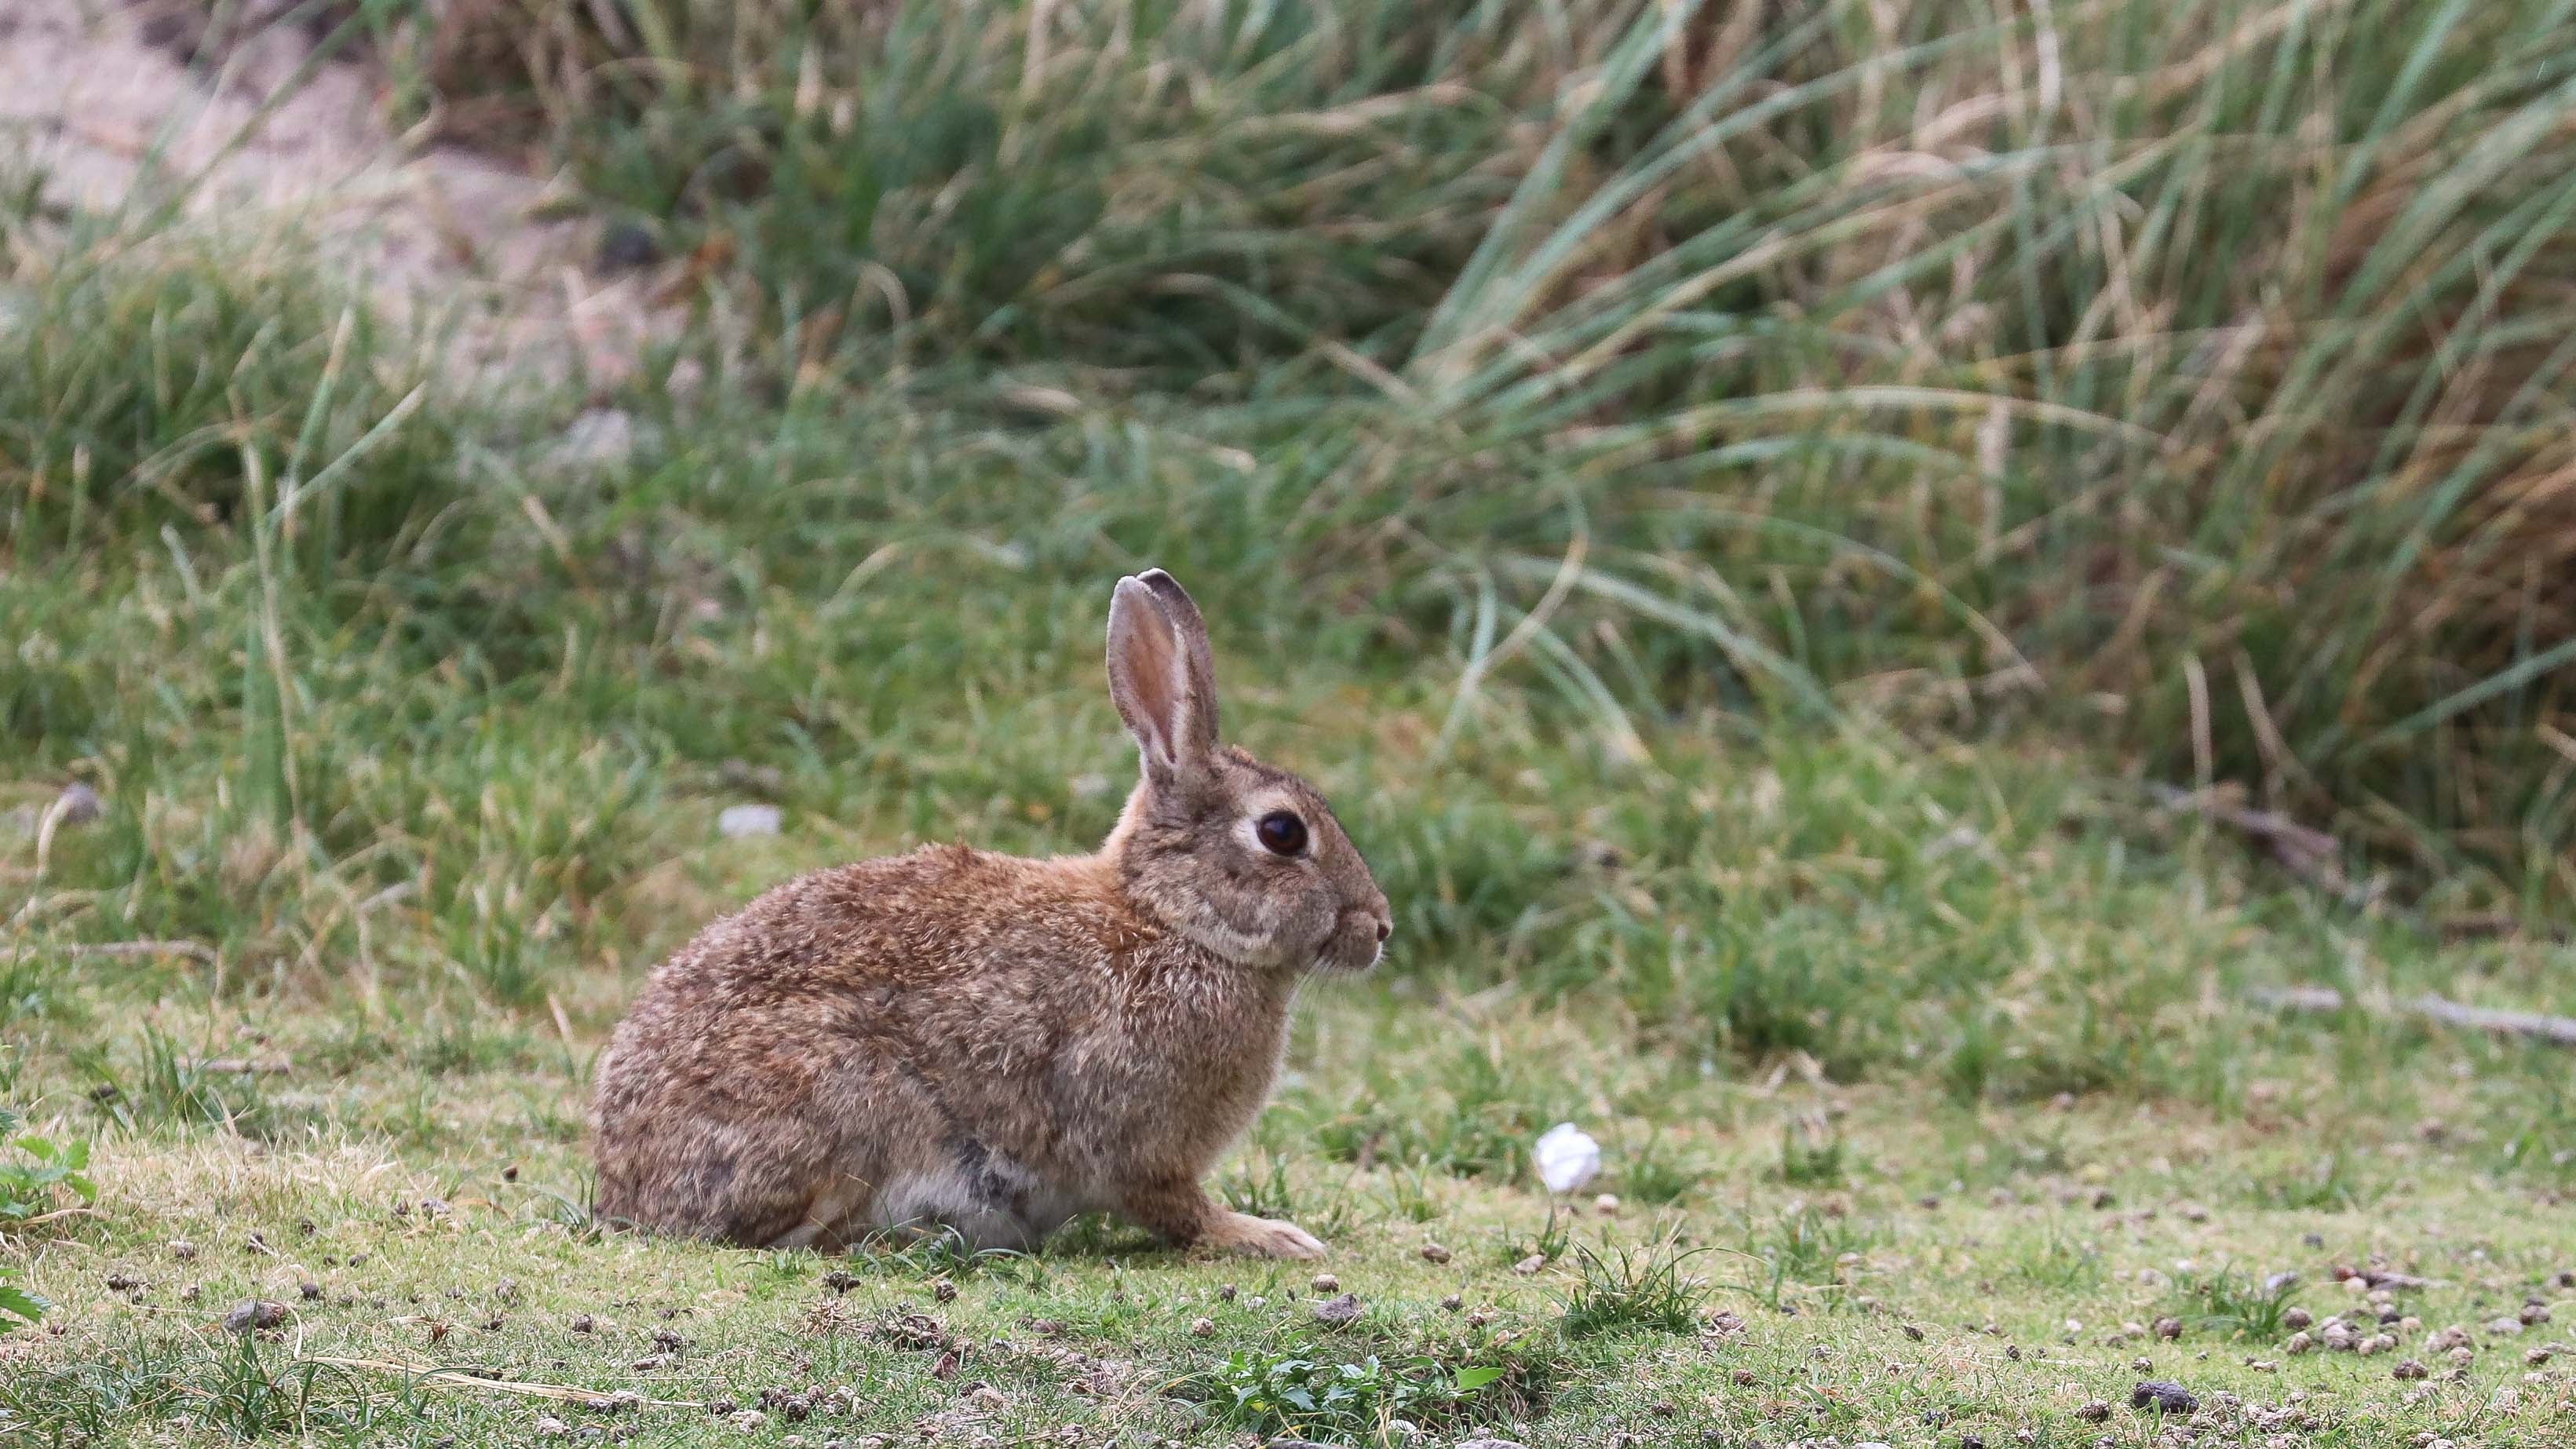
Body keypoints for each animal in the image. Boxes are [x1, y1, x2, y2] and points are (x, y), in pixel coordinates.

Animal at [590, 569, 1391, 1259]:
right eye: (1282, 832)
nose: (1380, 927)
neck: (1173, 924)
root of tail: (624, 1188)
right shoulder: (1135, 1139)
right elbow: (1178, 1209)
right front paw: (1271, 1237)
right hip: (849, 1100)